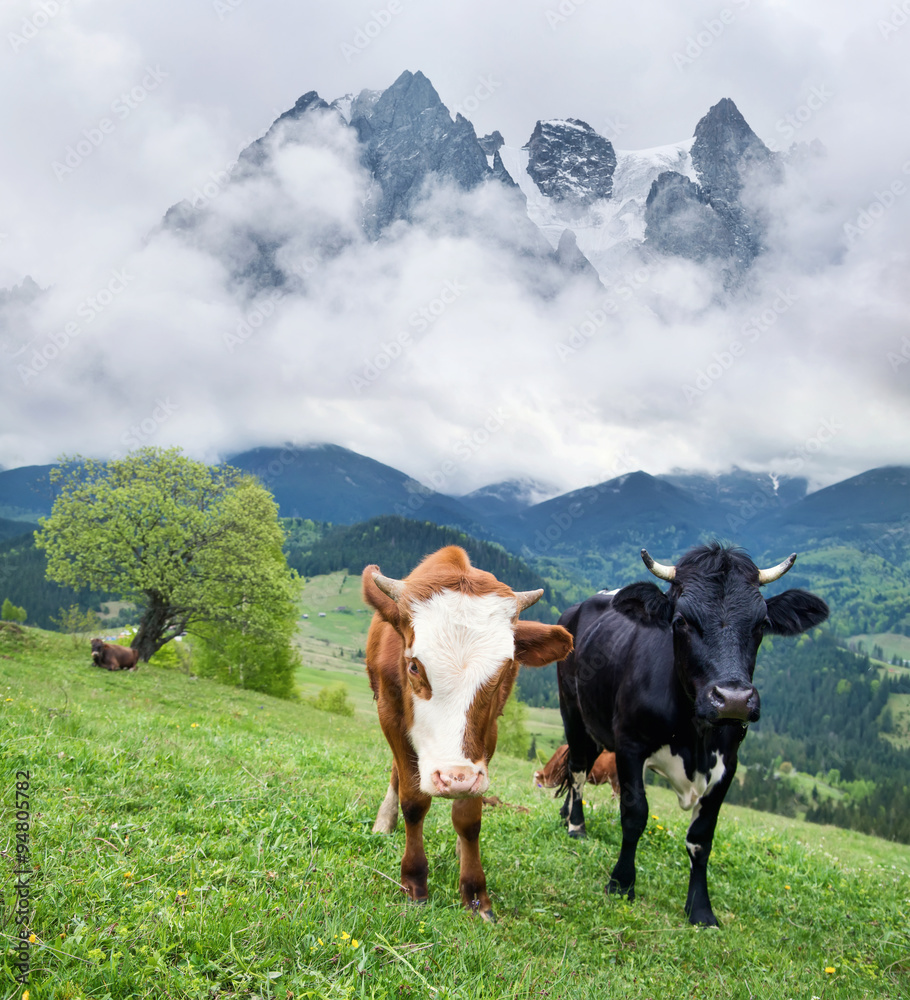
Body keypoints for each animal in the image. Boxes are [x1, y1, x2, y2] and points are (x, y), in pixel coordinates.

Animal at [362, 548, 568, 920]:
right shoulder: (389, 715)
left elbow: (469, 818)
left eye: (503, 671)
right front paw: (414, 881)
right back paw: (385, 820)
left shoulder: (489, 734)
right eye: (414, 666)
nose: (455, 778)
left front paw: (474, 893)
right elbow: (414, 801)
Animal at [560, 544, 832, 924]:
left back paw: (564, 816)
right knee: (577, 769)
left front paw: (701, 909)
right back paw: (576, 825)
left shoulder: (728, 765)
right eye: (681, 621)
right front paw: (621, 883)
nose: (733, 699)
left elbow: (702, 837)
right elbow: (635, 815)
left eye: (762, 624)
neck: (696, 736)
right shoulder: (630, 745)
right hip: (572, 712)